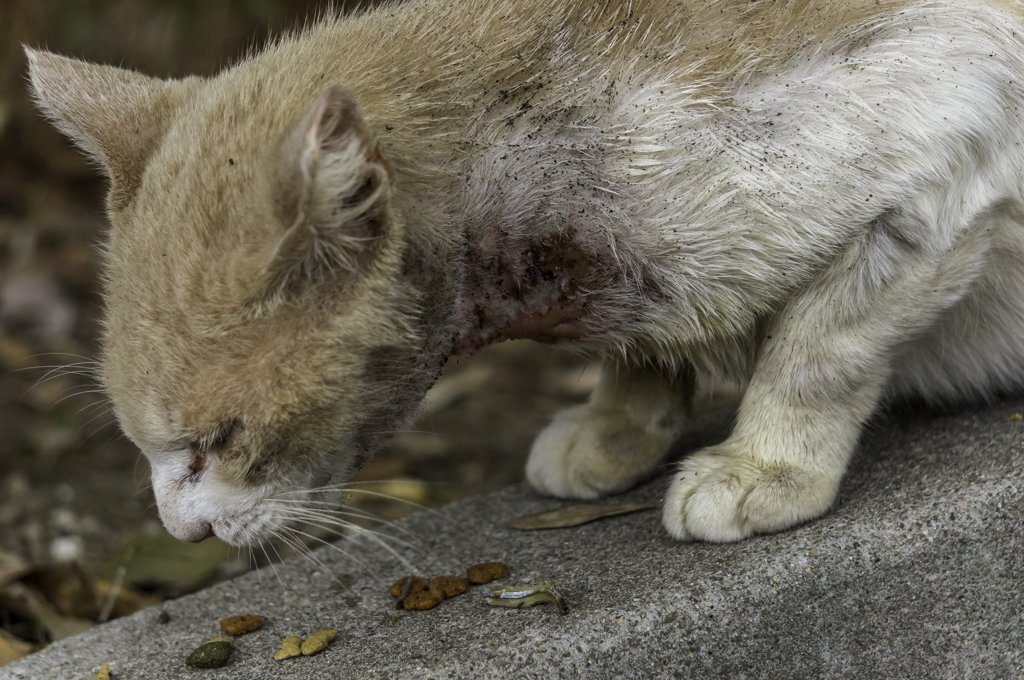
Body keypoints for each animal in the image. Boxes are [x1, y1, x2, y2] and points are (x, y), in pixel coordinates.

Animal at [24, 0, 1024, 544]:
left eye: (222, 439)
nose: (179, 528)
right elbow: (641, 355)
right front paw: (616, 429)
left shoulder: (946, 166)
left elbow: (818, 353)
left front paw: (763, 467)